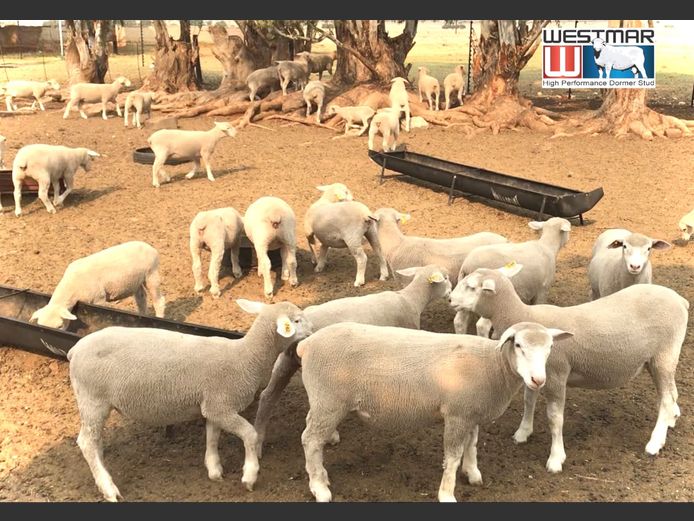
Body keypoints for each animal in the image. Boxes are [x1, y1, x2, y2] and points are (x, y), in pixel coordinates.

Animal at [30, 241, 165, 330]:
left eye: (60, 326)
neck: (71, 287)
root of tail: (150, 247)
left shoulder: (98, 299)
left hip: (151, 274)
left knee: (159, 301)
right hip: (136, 281)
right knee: (141, 299)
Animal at [66, 299, 313, 501]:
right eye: (296, 320)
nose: (312, 331)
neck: (245, 356)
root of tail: (75, 349)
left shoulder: (212, 404)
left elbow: (212, 436)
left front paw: (214, 469)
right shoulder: (222, 405)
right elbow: (250, 435)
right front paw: (249, 475)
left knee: (93, 440)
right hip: (92, 398)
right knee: (87, 442)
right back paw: (108, 488)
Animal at [254, 264, 453, 458]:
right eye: (446, 278)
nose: (451, 294)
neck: (410, 299)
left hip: (285, 361)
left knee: (267, 396)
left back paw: (257, 445)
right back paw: (330, 436)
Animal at [298, 320, 571, 502]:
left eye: (550, 348)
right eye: (518, 345)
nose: (538, 380)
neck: (492, 365)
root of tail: (307, 344)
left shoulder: (471, 413)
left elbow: (471, 445)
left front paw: (472, 473)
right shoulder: (457, 414)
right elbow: (452, 456)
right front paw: (447, 494)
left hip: (323, 403)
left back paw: (321, 477)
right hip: (328, 402)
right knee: (310, 440)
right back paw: (320, 488)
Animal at [449, 263, 689, 473]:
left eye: (471, 287)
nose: (450, 298)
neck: (523, 316)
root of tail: (680, 300)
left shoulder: (556, 374)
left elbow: (555, 418)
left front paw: (556, 458)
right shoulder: (534, 373)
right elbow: (528, 400)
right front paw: (523, 432)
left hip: (665, 354)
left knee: (667, 398)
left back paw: (655, 443)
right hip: (659, 359)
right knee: (671, 393)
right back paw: (671, 420)